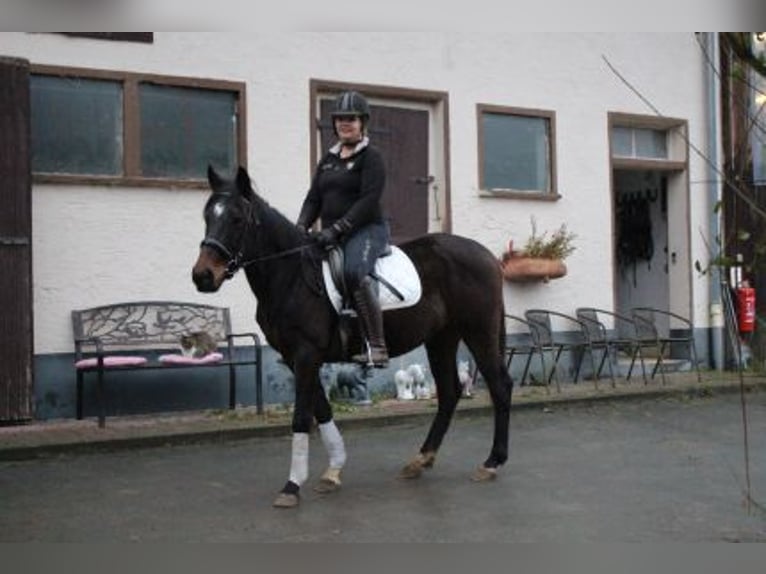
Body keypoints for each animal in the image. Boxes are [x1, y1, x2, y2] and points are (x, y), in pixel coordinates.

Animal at [194, 165, 516, 508]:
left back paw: (491, 462)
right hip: (441, 338)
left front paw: (291, 486)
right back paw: (421, 460)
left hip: (478, 331)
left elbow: (301, 416)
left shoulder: (306, 353)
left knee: (500, 386)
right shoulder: (295, 357)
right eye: (207, 215)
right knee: (450, 392)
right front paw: (333, 471)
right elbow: (322, 410)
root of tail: (487, 256)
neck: (292, 275)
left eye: (237, 218)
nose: (202, 276)